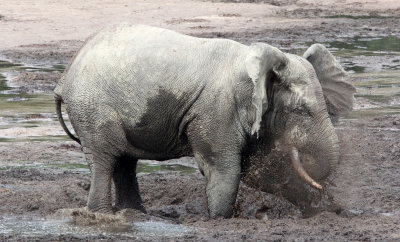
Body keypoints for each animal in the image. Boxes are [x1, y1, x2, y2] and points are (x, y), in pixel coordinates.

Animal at [54, 23, 356, 218]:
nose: (328, 196)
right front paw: (220, 221)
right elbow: (226, 170)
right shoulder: (217, 110)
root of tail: (64, 77)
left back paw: (135, 215)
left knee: (124, 162)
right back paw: (103, 215)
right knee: (106, 157)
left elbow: (258, 173)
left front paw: (326, 213)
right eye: (301, 110)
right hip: (92, 106)